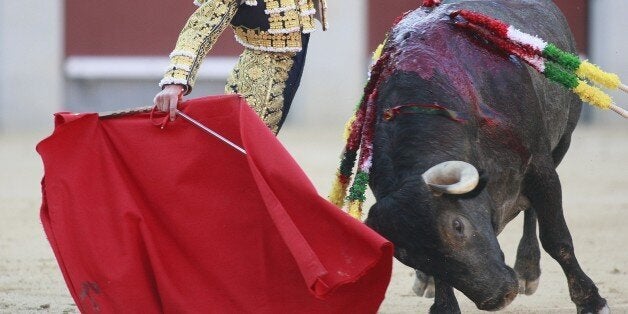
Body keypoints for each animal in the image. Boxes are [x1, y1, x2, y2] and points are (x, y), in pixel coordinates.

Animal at [360, 0, 612, 312]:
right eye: (406, 255)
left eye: (458, 226)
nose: (498, 297)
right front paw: (443, 302)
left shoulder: (539, 165)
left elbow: (556, 238)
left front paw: (591, 301)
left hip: (562, 142)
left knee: (534, 210)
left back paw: (527, 269)